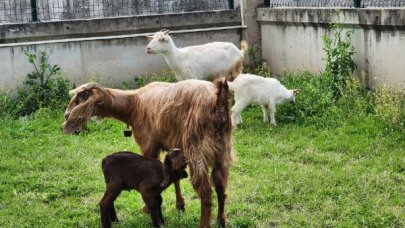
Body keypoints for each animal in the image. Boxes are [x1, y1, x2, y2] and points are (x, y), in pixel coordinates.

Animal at [64, 79, 234, 228]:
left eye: (81, 98)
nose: (66, 115)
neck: (133, 104)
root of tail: (218, 100)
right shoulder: (171, 146)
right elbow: (176, 178)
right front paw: (180, 205)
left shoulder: (148, 144)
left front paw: (147, 208)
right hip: (223, 151)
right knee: (221, 187)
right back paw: (221, 221)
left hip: (197, 149)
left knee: (206, 192)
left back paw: (204, 224)